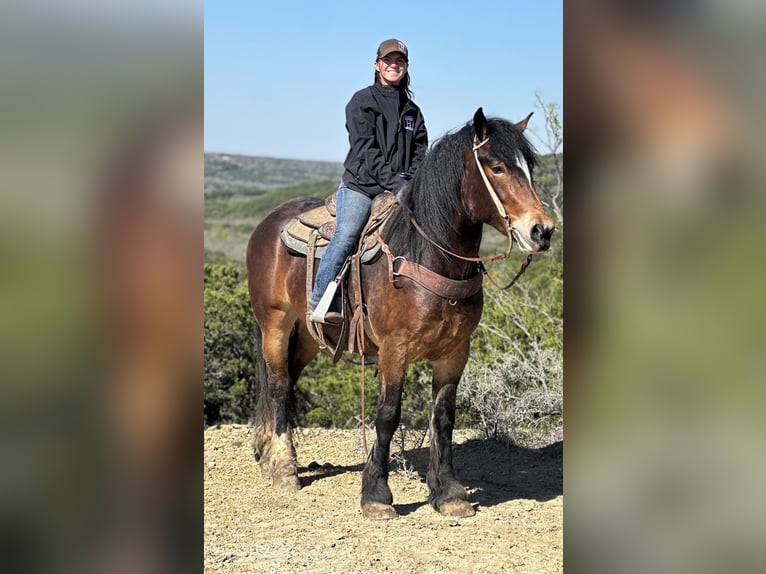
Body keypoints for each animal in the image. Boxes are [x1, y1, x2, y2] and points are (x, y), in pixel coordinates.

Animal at [249, 108, 556, 520]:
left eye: (530, 167)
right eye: (497, 167)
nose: (542, 231)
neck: (427, 257)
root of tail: (269, 222)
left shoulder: (454, 352)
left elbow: (443, 418)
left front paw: (449, 493)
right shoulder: (394, 351)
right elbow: (387, 415)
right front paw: (376, 495)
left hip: (309, 334)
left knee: (287, 378)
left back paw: (268, 455)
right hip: (275, 323)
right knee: (279, 384)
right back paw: (284, 468)